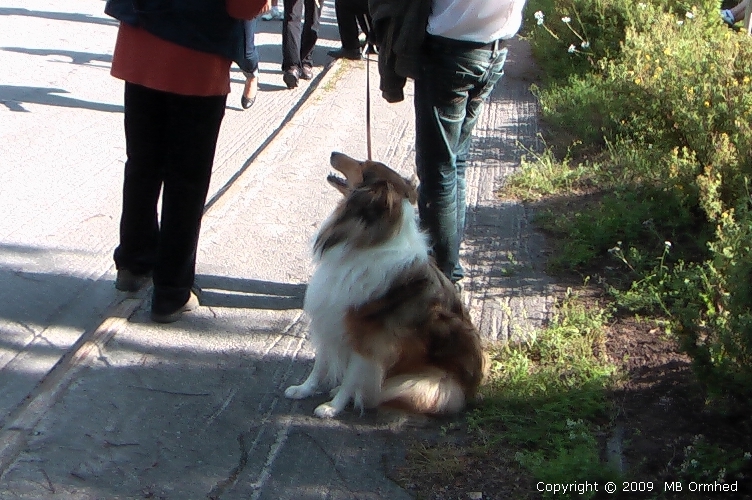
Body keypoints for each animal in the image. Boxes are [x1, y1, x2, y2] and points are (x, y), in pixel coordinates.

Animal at [284, 151, 490, 418]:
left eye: (364, 166)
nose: (333, 153)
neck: (368, 241)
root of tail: (471, 391)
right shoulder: (330, 318)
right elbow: (320, 366)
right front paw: (303, 390)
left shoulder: (369, 340)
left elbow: (352, 377)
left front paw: (333, 407)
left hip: (426, 383)